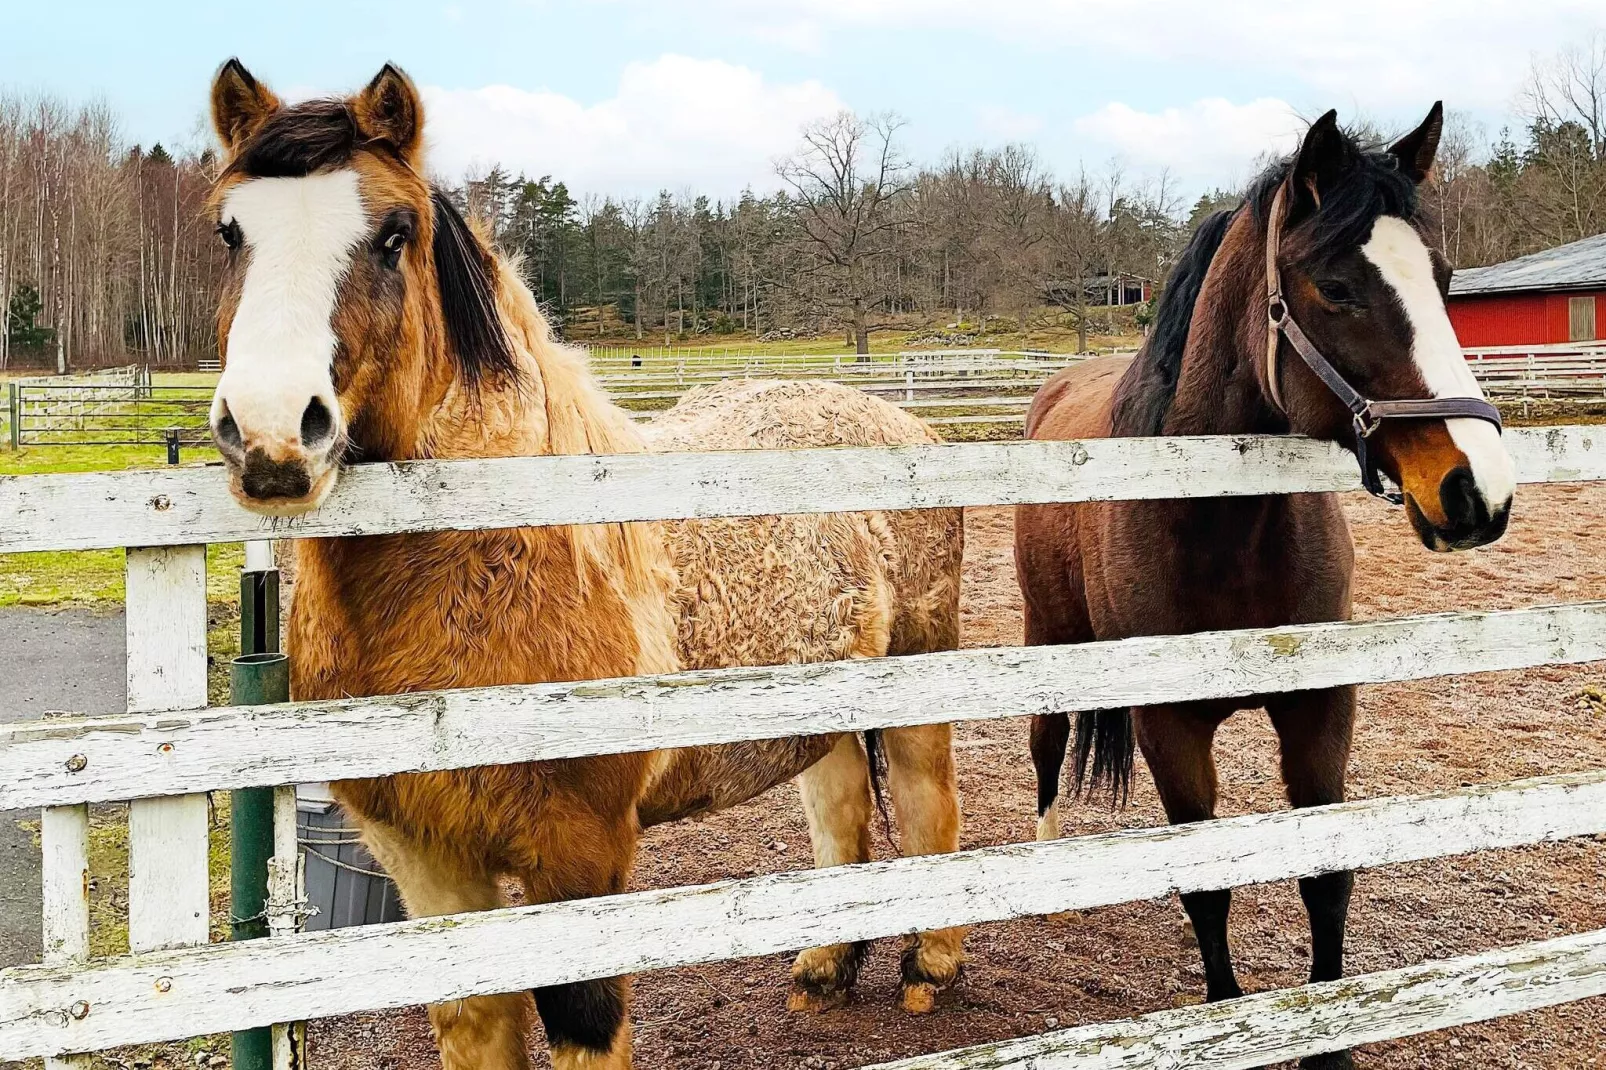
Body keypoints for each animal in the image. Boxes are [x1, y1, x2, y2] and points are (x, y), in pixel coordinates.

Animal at [208, 60, 963, 1066]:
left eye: (393, 235)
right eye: (229, 231)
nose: (270, 435)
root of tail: (903, 424)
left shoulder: (579, 855)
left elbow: (583, 1020)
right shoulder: (423, 854)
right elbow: (474, 1020)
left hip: (922, 674)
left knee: (927, 804)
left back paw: (931, 968)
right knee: (839, 808)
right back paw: (825, 967)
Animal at [1014, 106, 1516, 1066]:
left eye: (1442, 278)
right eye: (1336, 288)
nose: (1481, 490)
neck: (1220, 524)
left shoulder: (1321, 707)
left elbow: (1325, 876)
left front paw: (1333, 1039)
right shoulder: (1170, 727)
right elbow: (1209, 888)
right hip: (1048, 639)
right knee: (1048, 750)